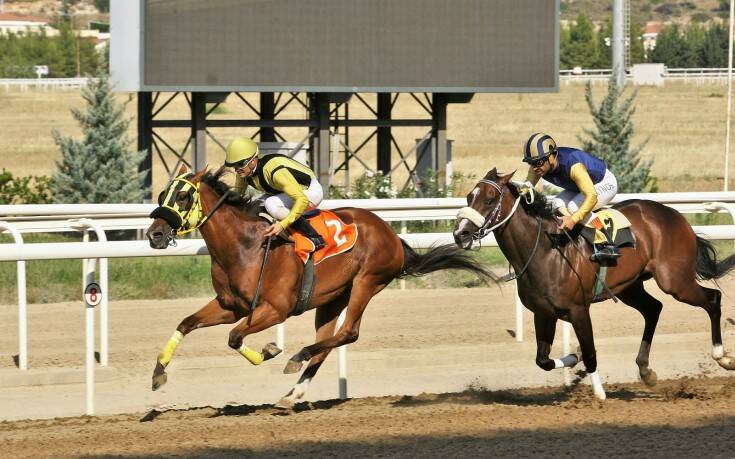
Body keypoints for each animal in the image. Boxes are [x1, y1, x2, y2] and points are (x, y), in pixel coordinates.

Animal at [144, 166, 494, 410]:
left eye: (183, 196)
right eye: (162, 194)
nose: (155, 235)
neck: (244, 246)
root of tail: (392, 234)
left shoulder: (275, 309)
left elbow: (234, 337)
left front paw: (271, 350)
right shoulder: (231, 306)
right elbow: (186, 323)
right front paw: (158, 373)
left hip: (367, 282)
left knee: (348, 332)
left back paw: (296, 357)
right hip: (332, 299)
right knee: (326, 343)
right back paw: (291, 393)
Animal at [454, 169, 735, 398]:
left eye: (490, 199)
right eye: (469, 197)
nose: (460, 233)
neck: (545, 250)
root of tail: (676, 215)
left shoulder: (579, 310)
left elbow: (590, 352)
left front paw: (599, 393)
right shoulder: (543, 313)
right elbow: (543, 360)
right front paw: (573, 357)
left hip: (674, 281)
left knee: (712, 300)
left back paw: (722, 357)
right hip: (631, 286)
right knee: (653, 309)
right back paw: (646, 371)